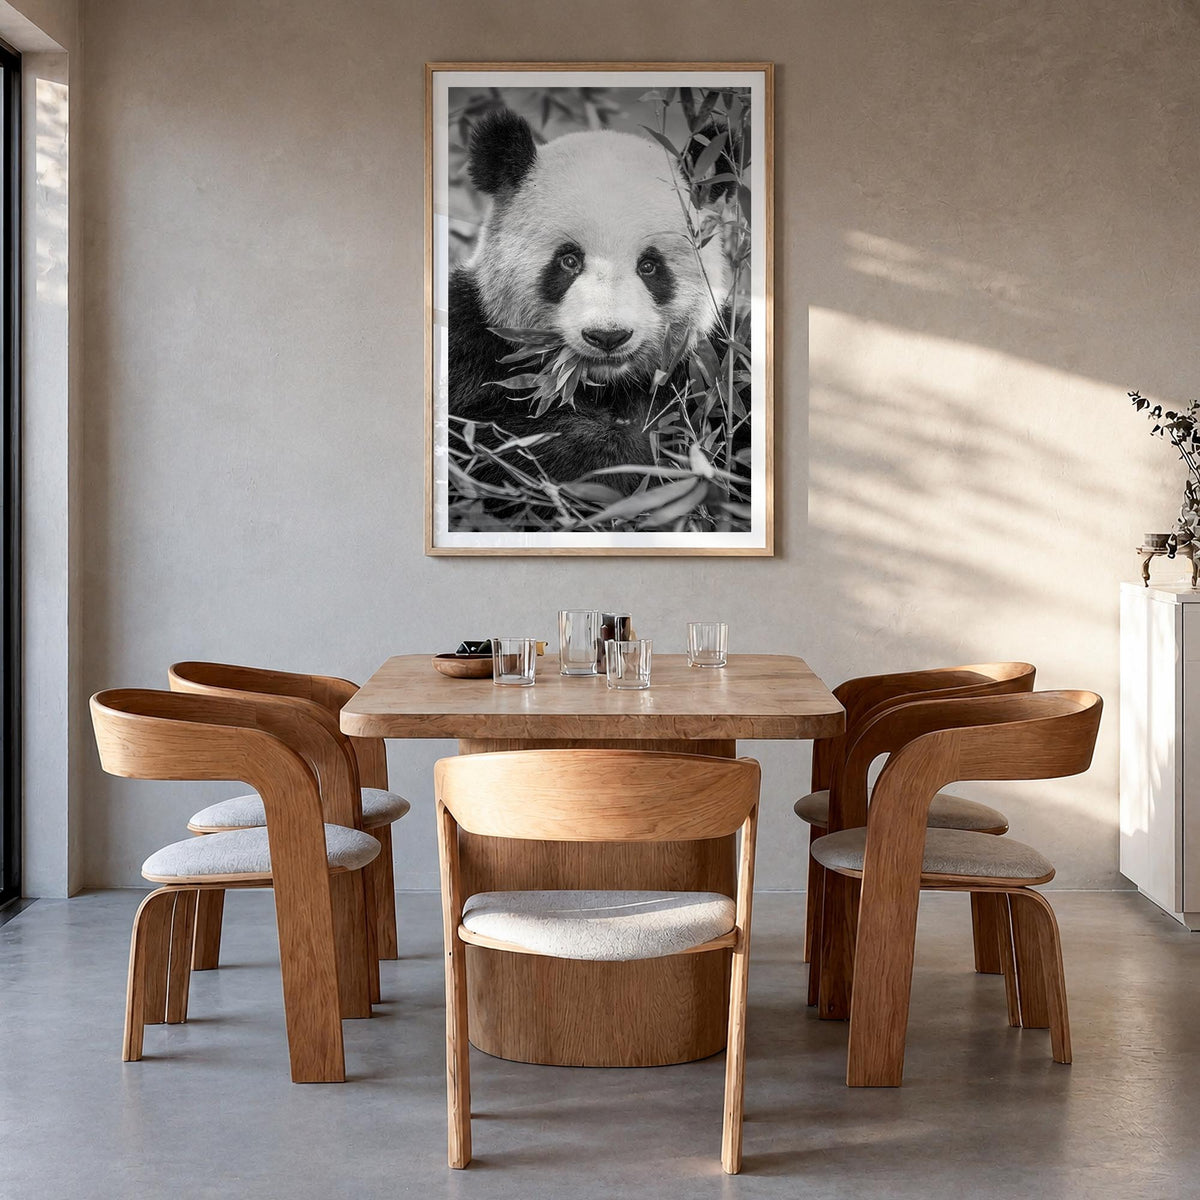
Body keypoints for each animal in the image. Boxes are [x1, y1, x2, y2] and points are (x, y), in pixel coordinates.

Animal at [447, 108, 731, 501]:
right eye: (569, 260)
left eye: (649, 266)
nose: (608, 336)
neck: (605, 385)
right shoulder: (470, 345)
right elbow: (491, 440)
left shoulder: (714, 361)